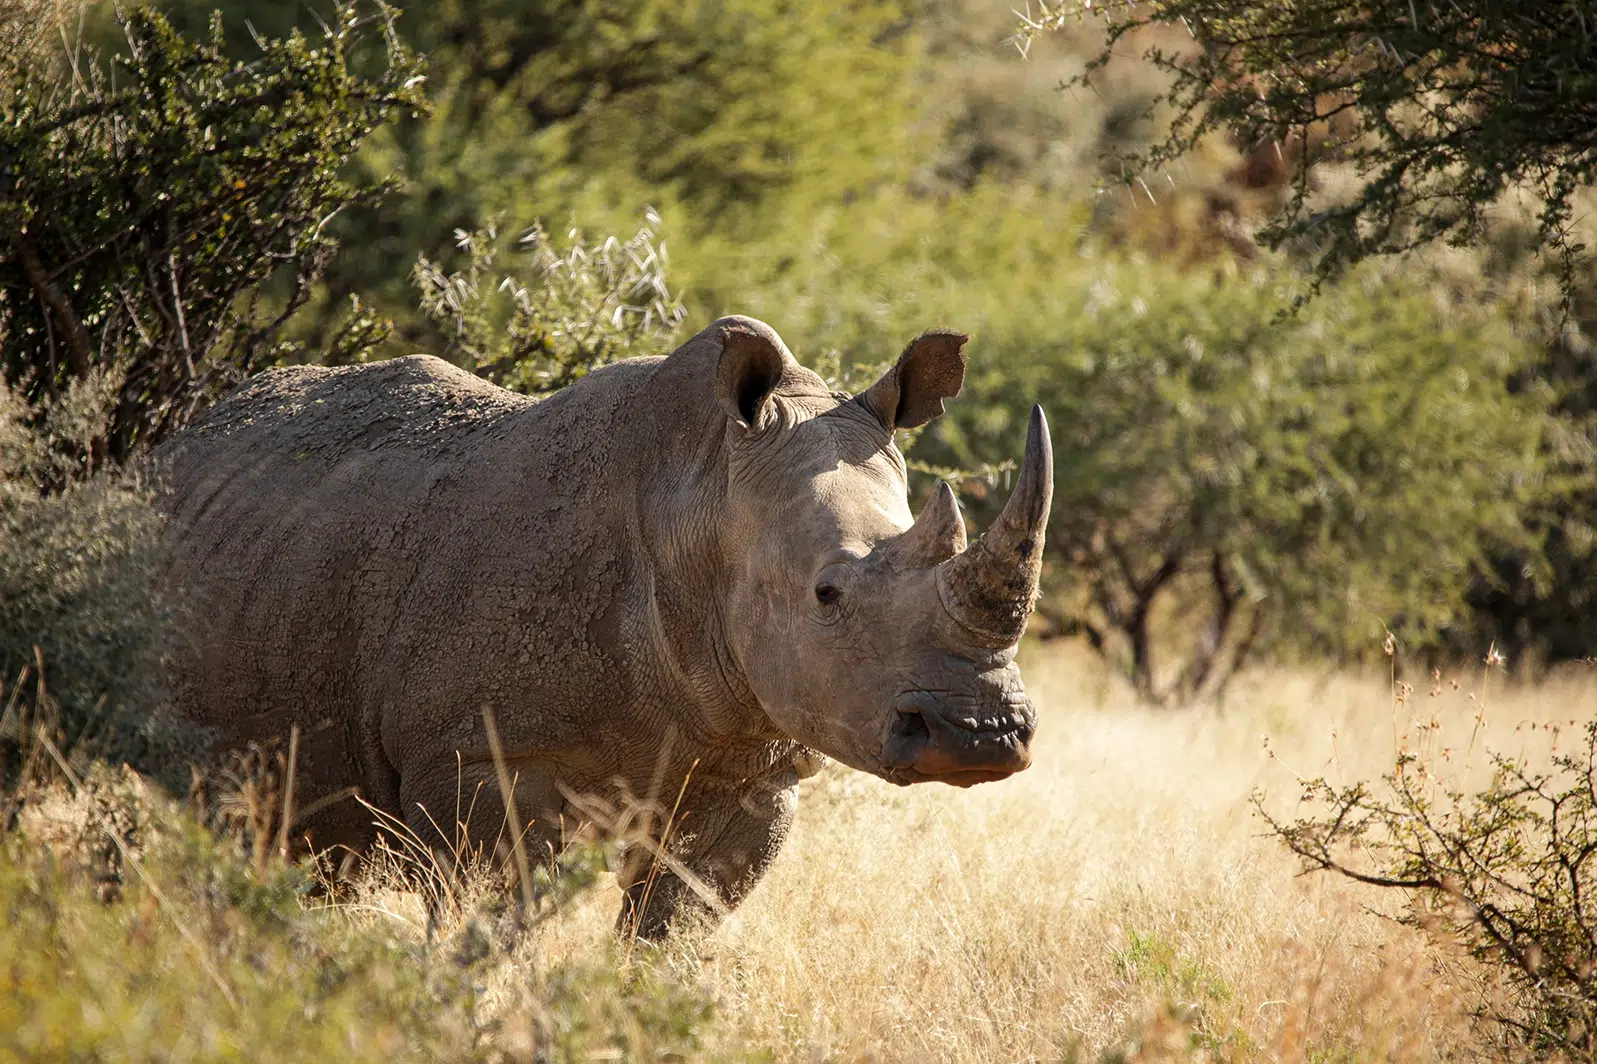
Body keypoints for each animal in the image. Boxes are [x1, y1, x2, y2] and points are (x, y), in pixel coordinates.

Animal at [157, 315, 1052, 937]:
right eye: (827, 594)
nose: (980, 735)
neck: (701, 501)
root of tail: (176, 442)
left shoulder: (751, 768)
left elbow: (667, 946)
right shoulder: (482, 759)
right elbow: (485, 933)